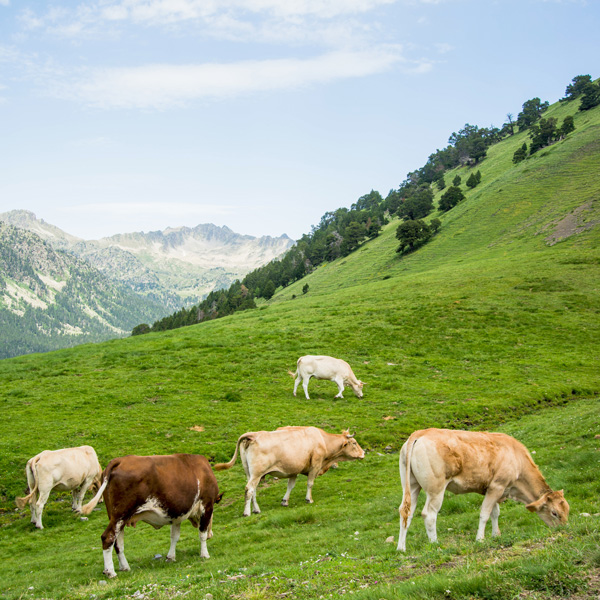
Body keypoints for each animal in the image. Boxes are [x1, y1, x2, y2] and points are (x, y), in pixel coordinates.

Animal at [79, 454, 220, 576]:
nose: (212, 534)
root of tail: (120, 460)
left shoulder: (176, 514)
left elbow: (174, 537)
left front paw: (170, 557)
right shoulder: (206, 505)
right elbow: (202, 533)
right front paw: (204, 554)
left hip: (116, 517)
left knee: (118, 542)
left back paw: (125, 567)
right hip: (121, 514)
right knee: (108, 537)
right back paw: (110, 572)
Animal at [396, 426, 568, 552]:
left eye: (567, 510)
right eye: (554, 513)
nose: (564, 529)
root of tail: (420, 433)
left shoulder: (495, 488)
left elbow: (495, 512)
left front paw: (496, 535)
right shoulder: (497, 486)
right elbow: (485, 514)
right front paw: (480, 539)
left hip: (411, 485)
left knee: (406, 512)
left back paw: (401, 549)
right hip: (436, 488)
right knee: (429, 514)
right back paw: (436, 544)